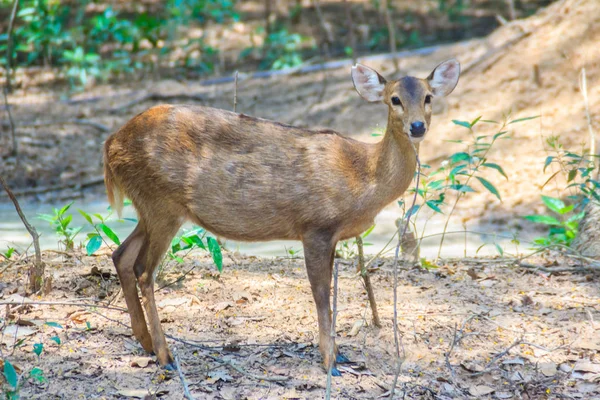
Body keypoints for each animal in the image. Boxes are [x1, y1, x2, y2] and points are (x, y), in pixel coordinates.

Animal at [103, 57, 460, 376]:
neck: (362, 176)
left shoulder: (330, 234)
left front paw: (340, 354)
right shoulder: (315, 226)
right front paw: (330, 362)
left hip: (151, 206)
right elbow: (321, 293)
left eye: (428, 96)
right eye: (395, 99)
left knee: (121, 254)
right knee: (144, 270)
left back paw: (146, 343)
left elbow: (330, 292)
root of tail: (110, 145)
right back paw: (165, 356)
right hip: (161, 201)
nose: (417, 126)